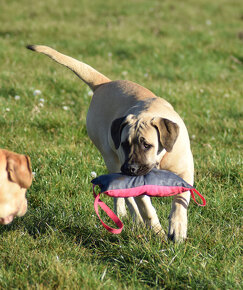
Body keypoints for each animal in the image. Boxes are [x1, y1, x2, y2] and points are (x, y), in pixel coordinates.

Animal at [26, 44, 194, 241]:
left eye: (147, 145)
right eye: (124, 144)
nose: (130, 169)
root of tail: (103, 83)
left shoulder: (184, 171)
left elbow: (180, 201)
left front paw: (178, 228)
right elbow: (145, 207)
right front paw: (156, 230)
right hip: (110, 158)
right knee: (124, 196)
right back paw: (134, 218)